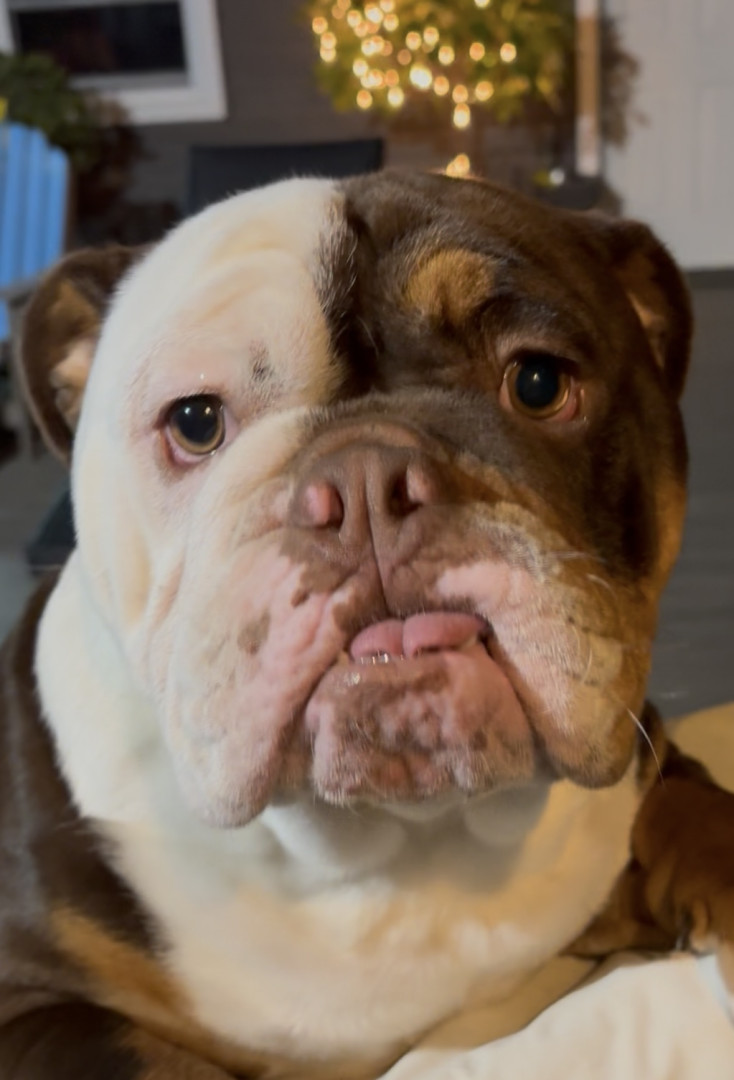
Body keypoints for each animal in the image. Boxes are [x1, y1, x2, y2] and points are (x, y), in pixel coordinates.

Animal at [1, 169, 733, 1079]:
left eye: (537, 382)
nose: (367, 476)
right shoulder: (33, 1005)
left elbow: (704, 818)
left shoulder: (649, 758)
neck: (397, 834)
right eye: (195, 422)